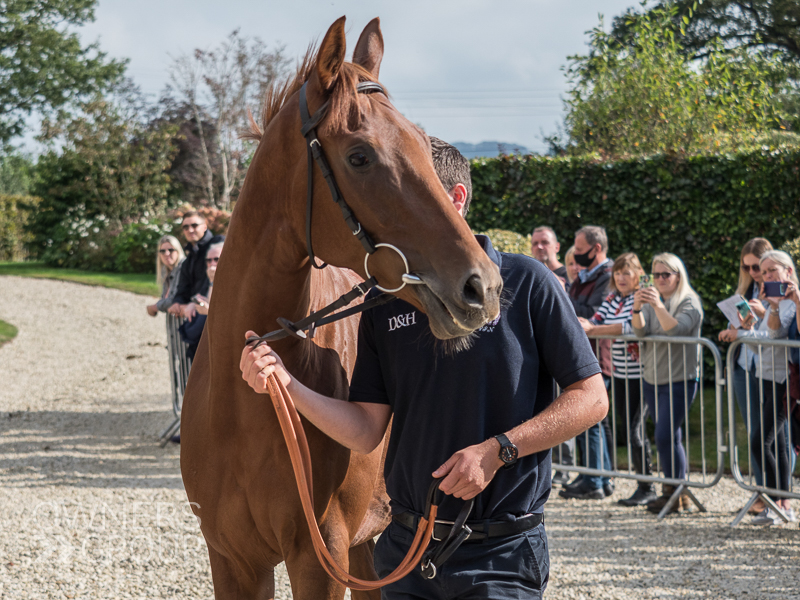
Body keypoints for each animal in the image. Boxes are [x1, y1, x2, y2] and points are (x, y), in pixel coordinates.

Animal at [183, 16, 500, 596]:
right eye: (359, 155)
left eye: (421, 144)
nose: (481, 287)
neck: (246, 406)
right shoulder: (233, 559)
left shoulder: (319, 554)